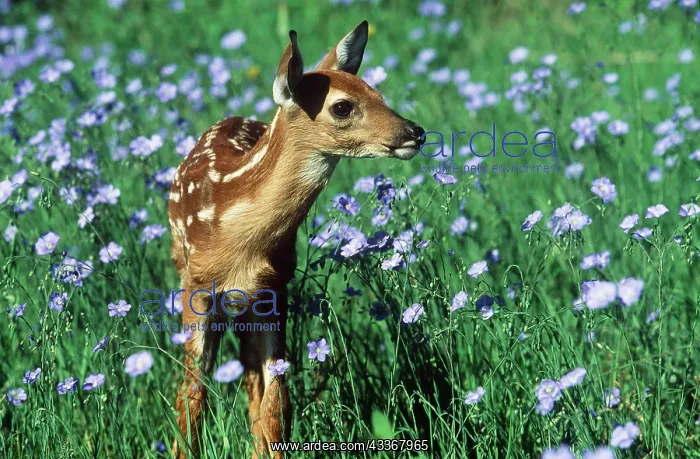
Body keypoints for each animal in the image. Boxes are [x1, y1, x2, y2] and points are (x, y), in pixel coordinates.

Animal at [168, 20, 425, 458]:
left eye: (377, 93)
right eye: (342, 107)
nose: (415, 131)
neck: (236, 239)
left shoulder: (273, 288)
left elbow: (276, 401)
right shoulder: (197, 289)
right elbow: (192, 395)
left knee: (254, 379)